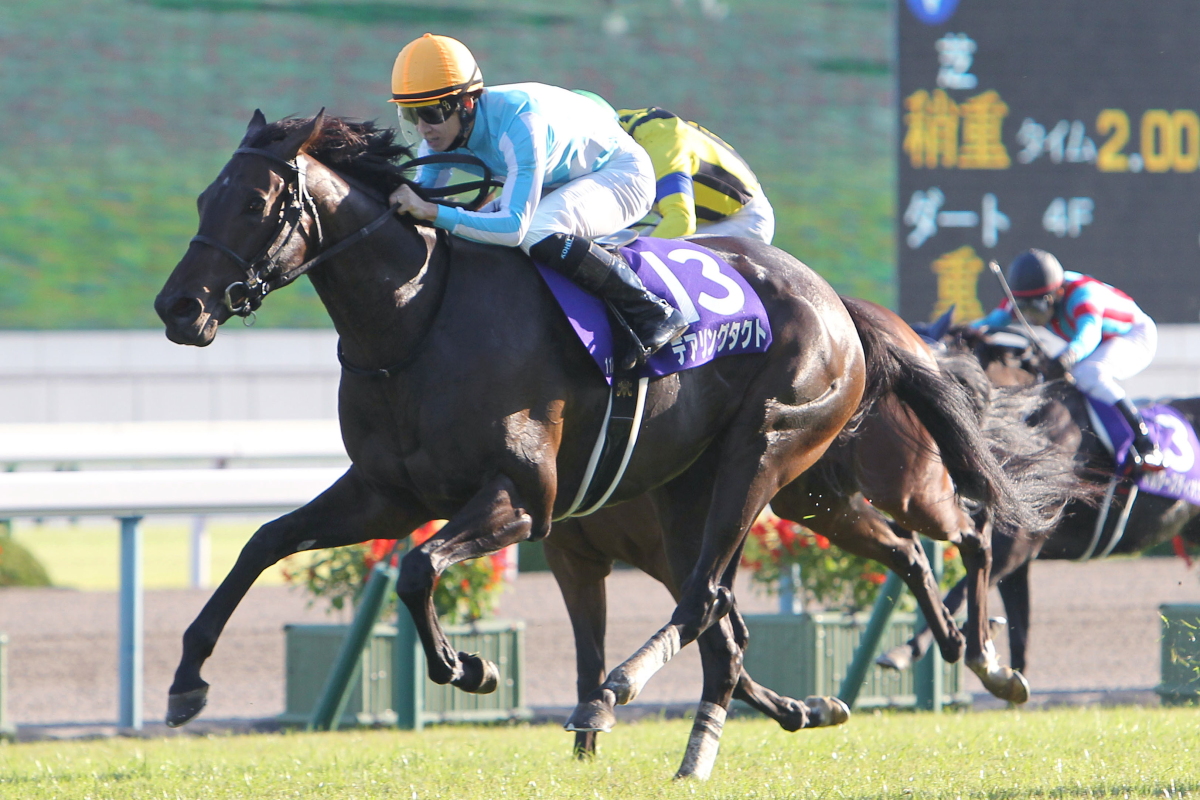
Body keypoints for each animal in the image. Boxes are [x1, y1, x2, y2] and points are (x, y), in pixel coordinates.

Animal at [549, 302, 1075, 762]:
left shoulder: (675, 551)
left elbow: (717, 635)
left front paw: (803, 709)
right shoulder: (574, 560)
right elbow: (598, 656)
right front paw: (586, 746)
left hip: (904, 485)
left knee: (972, 535)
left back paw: (986, 659)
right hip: (820, 505)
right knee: (907, 553)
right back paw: (951, 644)